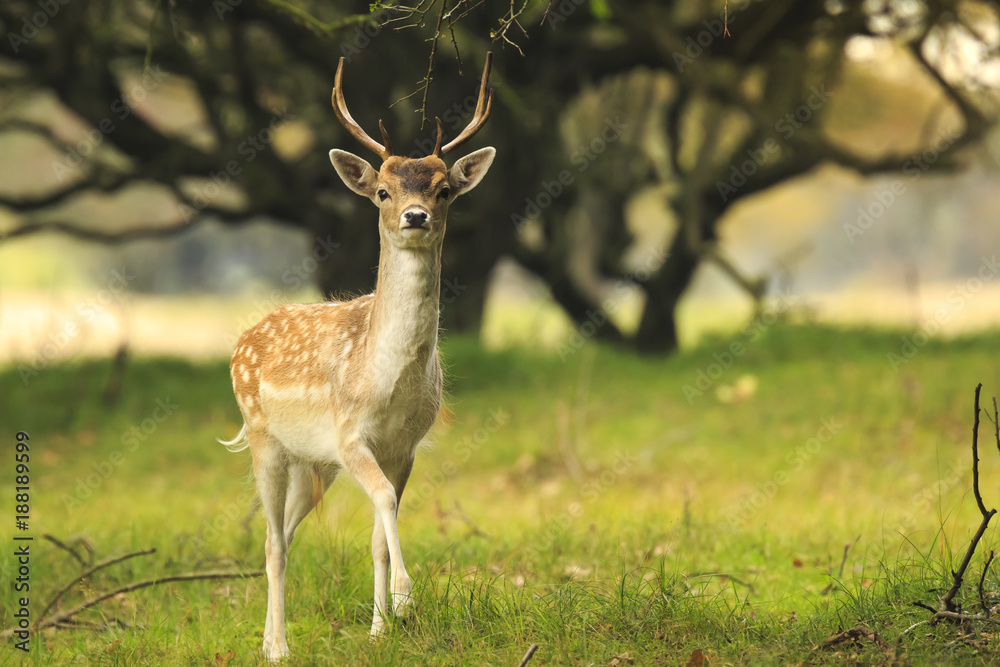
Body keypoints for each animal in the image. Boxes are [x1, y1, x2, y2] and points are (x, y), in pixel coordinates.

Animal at [219, 53, 495, 661]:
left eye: (444, 189)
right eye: (384, 192)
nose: (415, 215)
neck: (384, 384)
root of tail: (242, 340)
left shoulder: (403, 447)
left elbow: (377, 532)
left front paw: (380, 627)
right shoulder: (351, 436)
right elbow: (385, 503)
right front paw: (406, 599)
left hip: (313, 463)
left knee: (285, 535)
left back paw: (272, 641)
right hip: (264, 440)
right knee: (272, 542)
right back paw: (278, 649)